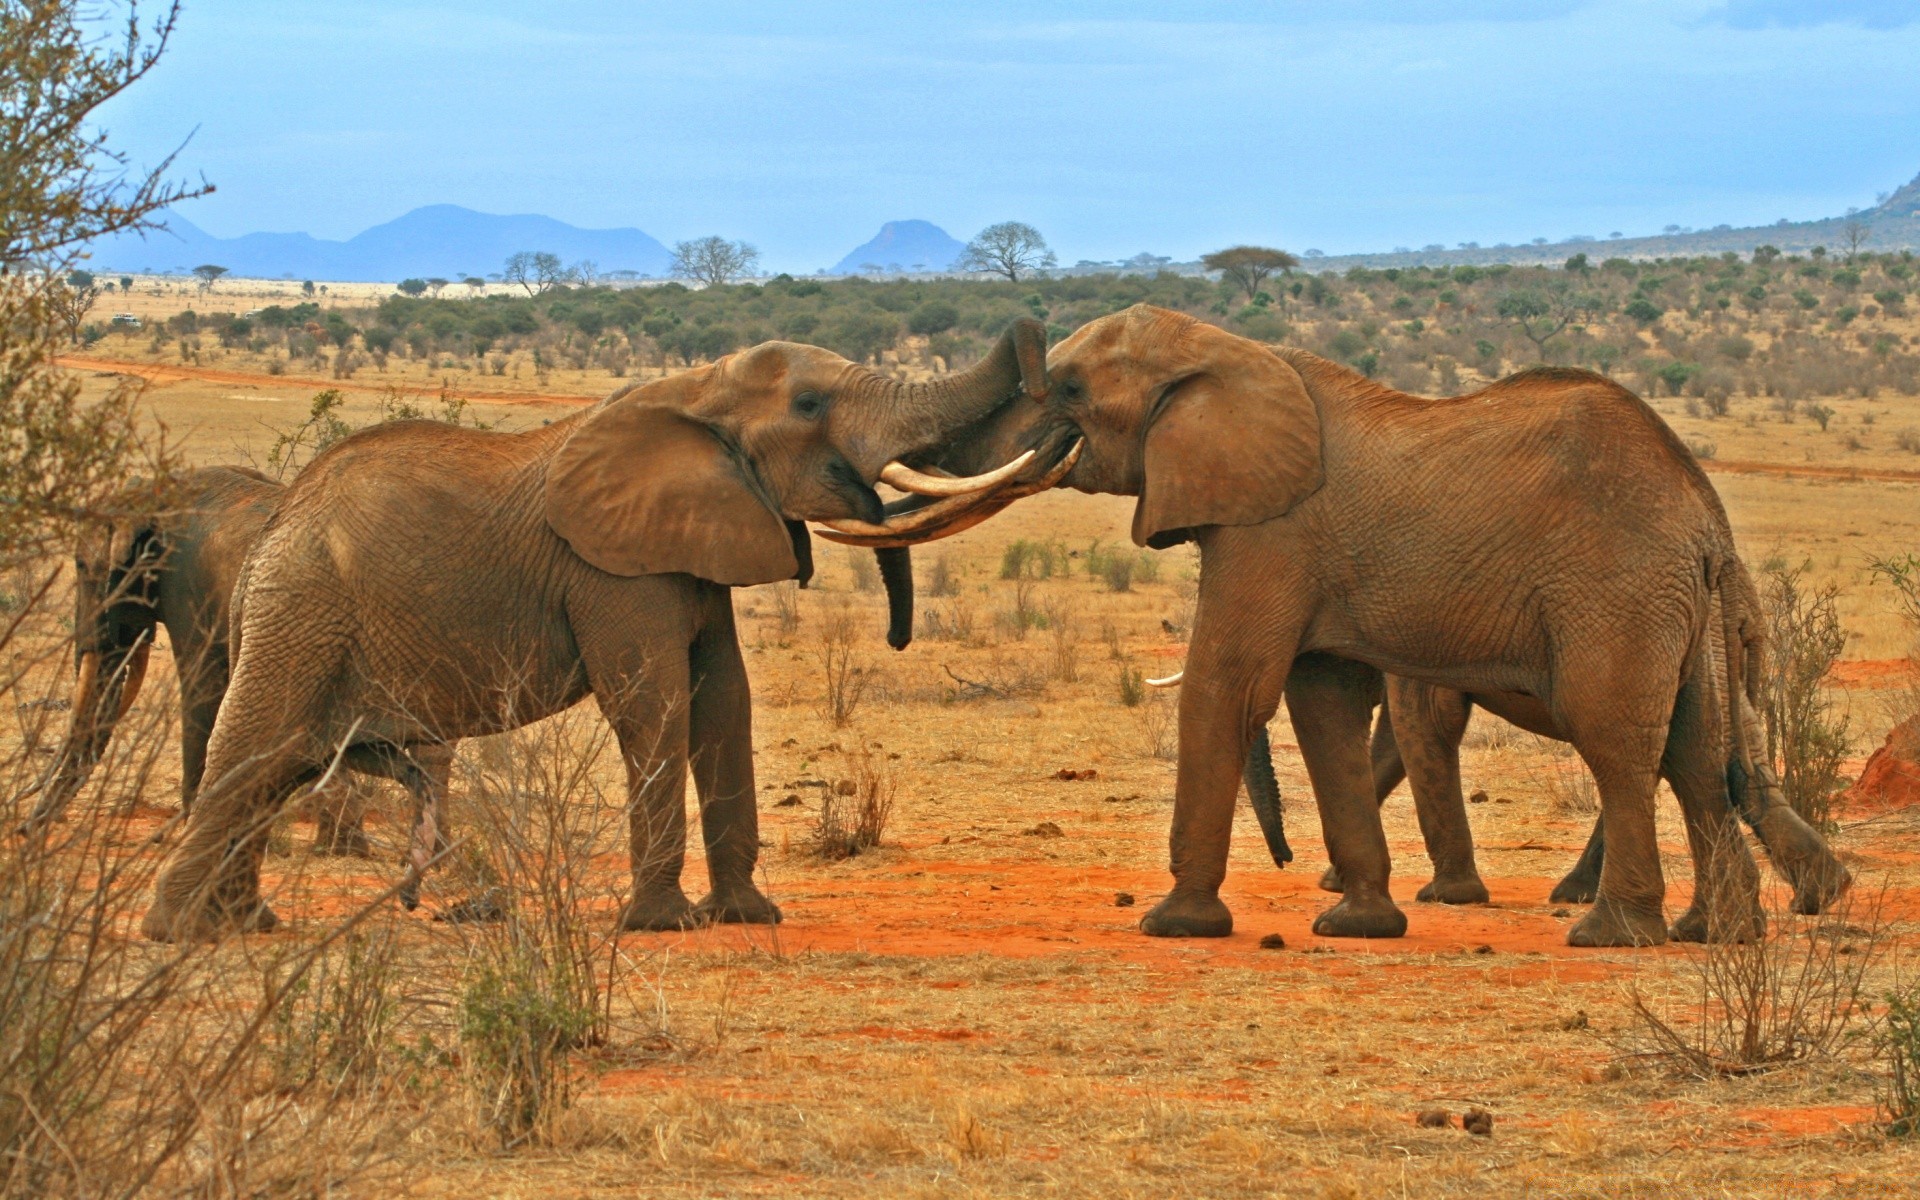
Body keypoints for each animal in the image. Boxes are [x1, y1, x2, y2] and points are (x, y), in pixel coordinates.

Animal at [142, 322, 1059, 940]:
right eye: (809, 404)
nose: (1033, 331)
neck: (692, 390)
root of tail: (276, 528)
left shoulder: (695, 545)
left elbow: (726, 704)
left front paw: (749, 915)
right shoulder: (611, 571)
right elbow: (655, 705)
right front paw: (666, 925)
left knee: (279, 769)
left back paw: (244, 926)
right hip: (303, 607)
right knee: (257, 751)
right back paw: (180, 933)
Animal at [833, 307, 1850, 944]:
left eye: (1072, 394)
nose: (1285, 860)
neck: (1231, 352)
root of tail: (1708, 518)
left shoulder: (1273, 532)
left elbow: (1233, 686)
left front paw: (1174, 924)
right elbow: (1321, 705)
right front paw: (1357, 922)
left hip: (1619, 594)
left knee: (1618, 740)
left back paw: (1609, 935)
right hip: (1683, 608)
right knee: (1698, 753)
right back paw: (1716, 934)